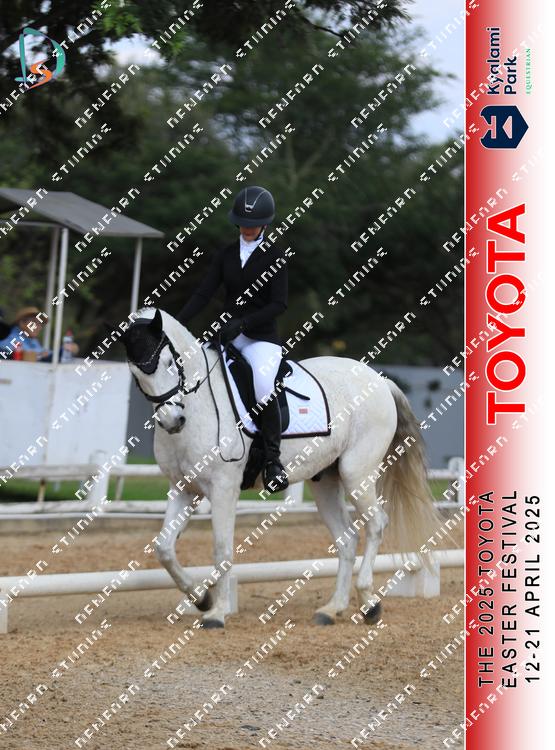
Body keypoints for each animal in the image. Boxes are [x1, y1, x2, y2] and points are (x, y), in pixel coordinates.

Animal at [121, 307, 441, 628]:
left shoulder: (223, 488)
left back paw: (369, 604)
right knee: (347, 540)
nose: (173, 421)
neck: (200, 404)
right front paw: (201, 599)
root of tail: (378, 379)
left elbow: (221, 549)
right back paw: (331, 609)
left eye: (169, 363)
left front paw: (217, 612)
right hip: (326, 481)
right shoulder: (184, 488)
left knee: (376, 524)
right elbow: (164, 548)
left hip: (356, 473)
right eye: (135, 372)